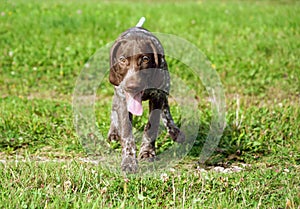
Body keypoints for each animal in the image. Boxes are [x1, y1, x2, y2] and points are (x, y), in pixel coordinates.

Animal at [106, 26, 184, 173]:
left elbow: (151, 126)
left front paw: (147, 152)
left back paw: (173, 130)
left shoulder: (157, 95)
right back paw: (113, 133)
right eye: (122, 59)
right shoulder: (122, 97)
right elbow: (126, 132)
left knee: (166, 109)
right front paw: (129, 160)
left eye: (145, 59)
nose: (132, 86)